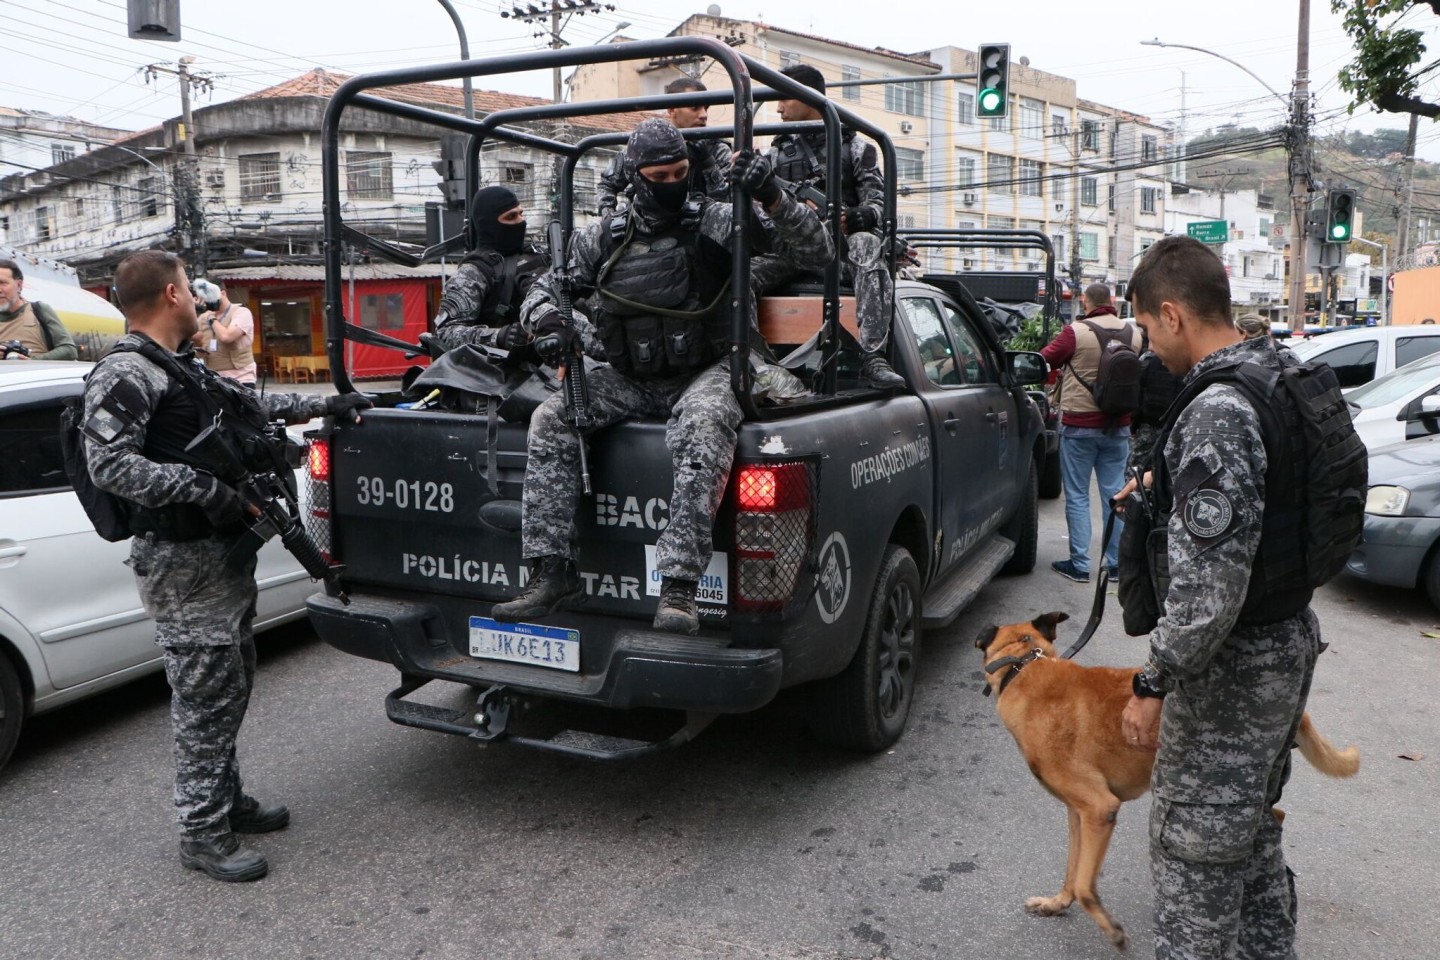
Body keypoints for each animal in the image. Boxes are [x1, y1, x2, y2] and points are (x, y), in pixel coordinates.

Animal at [967, 616, 1359, 955]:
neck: (1024, 665)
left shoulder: (1099, 809)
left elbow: (1083, 885)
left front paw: (1112, 931)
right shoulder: (1078, 813)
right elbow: (1071, 870)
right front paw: (1057, 903)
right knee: (1273, 821)